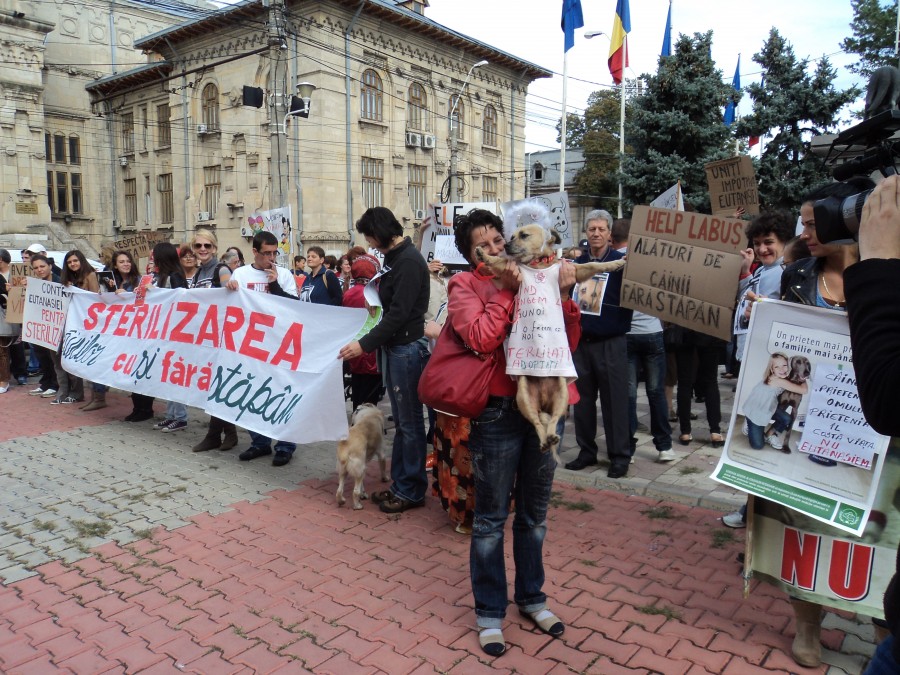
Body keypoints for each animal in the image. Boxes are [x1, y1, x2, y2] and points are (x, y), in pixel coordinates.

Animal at [478, 226, 624, 464]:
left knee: (553, 421)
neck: (538, 264)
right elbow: (497, 261)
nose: (506, 245)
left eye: (524, 235)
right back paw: (546, 441)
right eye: (510, 237)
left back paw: (552, 437)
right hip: (524, 398)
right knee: (538, 423)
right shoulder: (511, 269)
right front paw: (483, 254)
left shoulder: (576, 270)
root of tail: (543, 399)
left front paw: (616, 263)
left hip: (562, 397)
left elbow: (595, 266)